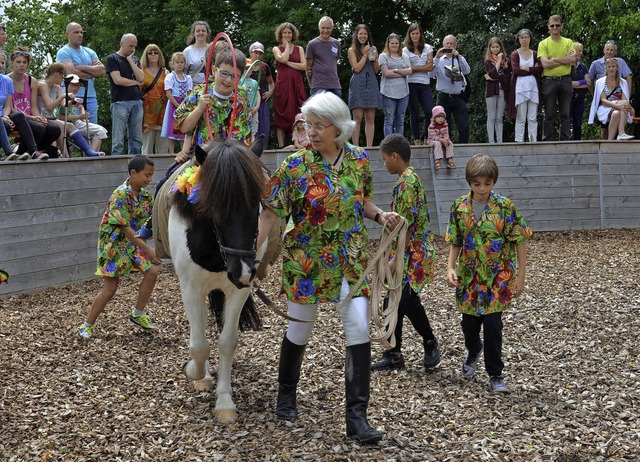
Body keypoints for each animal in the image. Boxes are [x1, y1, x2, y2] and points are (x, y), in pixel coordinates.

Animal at [161, 139, 274, 424]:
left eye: (257, 205)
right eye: (216, 206)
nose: (243, 271)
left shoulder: (238, 291)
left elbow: (226, 342)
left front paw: (224, 401)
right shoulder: (190, 288)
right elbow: (199, 346)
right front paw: (196, 373)